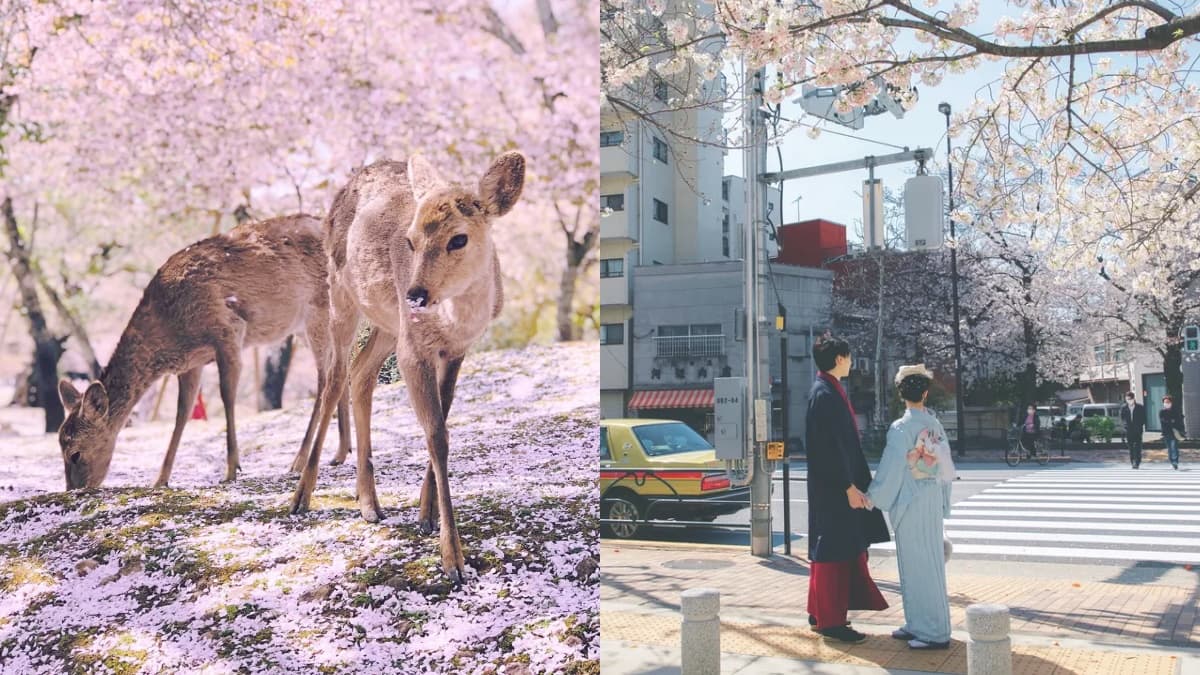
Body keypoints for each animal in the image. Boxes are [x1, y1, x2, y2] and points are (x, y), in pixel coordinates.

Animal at [56, 214, 351, 490]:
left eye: (75, 453)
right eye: (60, 446)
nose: (74, 489)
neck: (170, 330)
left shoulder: (228, 329)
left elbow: (226, 395)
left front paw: (231, 469)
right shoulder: (191, 363)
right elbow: (182, 412)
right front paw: (160, 479)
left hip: (318, 311)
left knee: (325, 378)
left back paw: (299, 460)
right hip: (307, 326)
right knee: (341, 369)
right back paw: (341, 451)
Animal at [289, 152, 524, 584]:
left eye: (459, 238)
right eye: (411, 241)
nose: (416, 293)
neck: (454, 322)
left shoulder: (455, 351)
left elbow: (442, 425)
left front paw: (425, 514)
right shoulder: (414, 350)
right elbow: (436, 434)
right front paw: (453, 560)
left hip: (387, 323)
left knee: (360, 373)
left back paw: (369, 503)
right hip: (341, 295)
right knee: (334, 378)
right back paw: (301, 496)